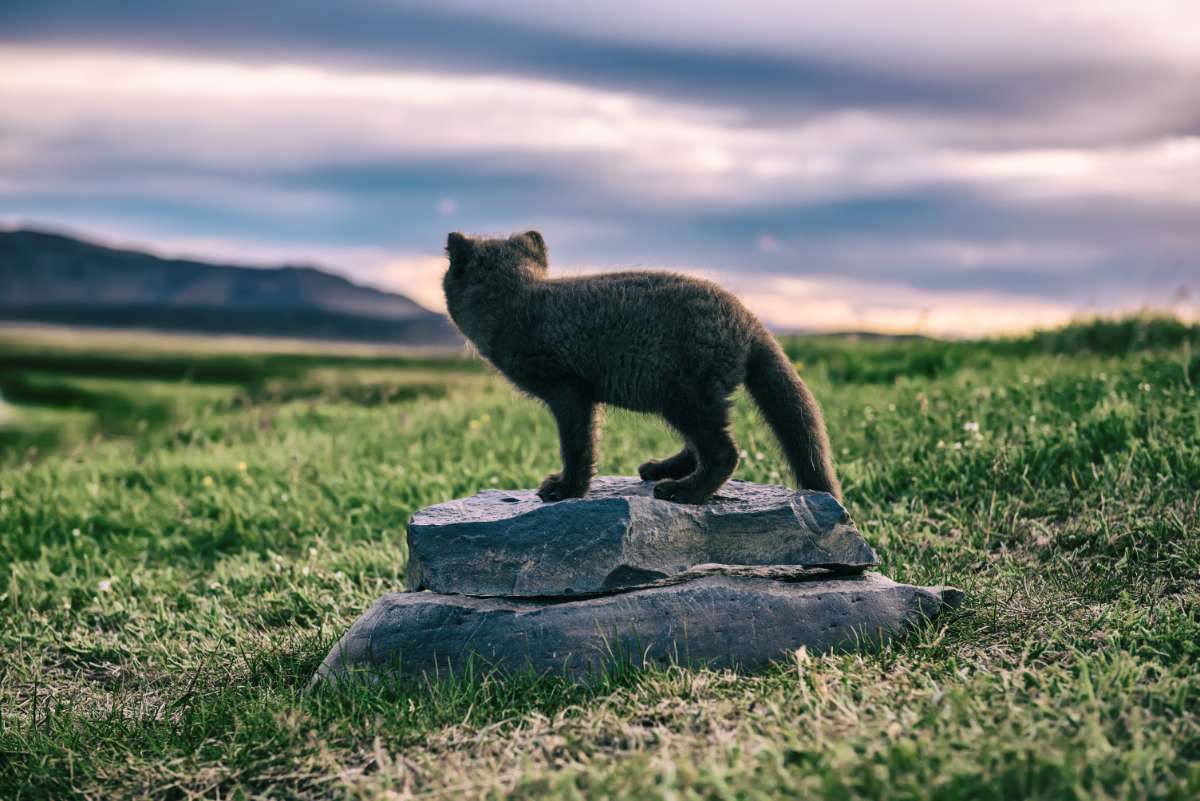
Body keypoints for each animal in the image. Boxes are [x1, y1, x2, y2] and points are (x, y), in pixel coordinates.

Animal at [444, 227, 844, 503]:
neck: (515, 301)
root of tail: (748, 319)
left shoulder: (568, 390)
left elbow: (577, 445)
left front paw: (566, 489)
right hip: (685, 399)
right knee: (701, 446)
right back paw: (659, 470)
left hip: (683, 396)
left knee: (724, 452)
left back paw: (682, 492)